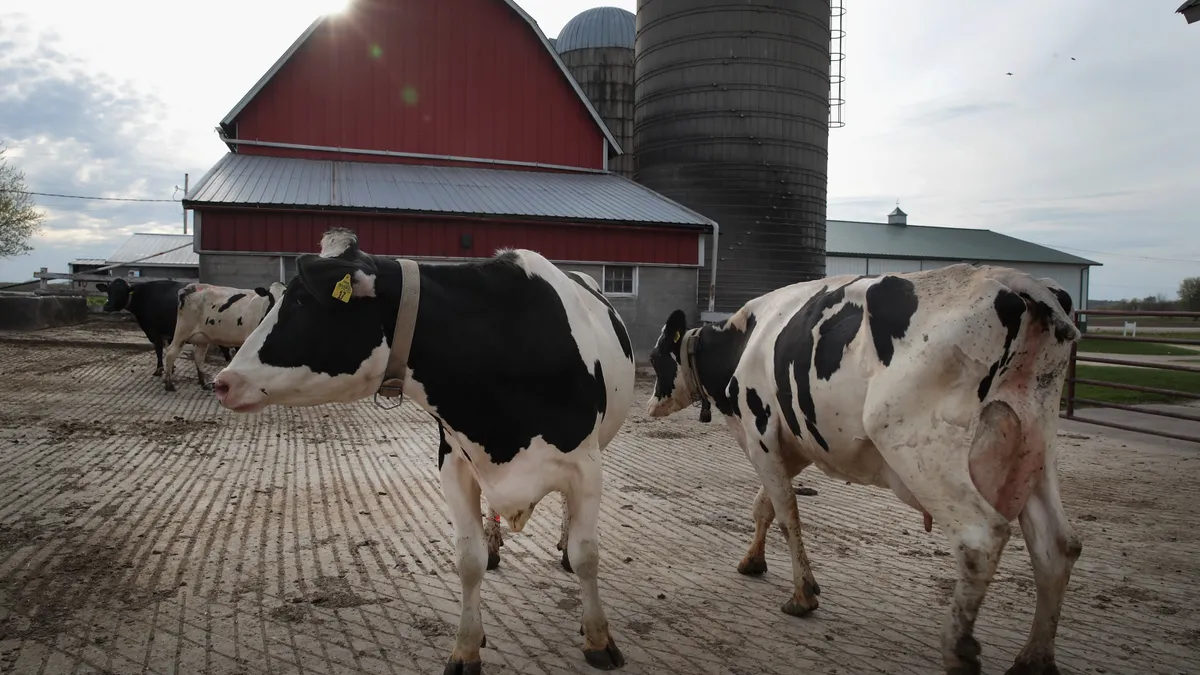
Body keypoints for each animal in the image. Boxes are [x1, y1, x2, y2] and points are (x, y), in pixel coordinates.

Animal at [97, 276, 232, 374]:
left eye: (121, 292)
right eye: (109, 291)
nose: (107, 305)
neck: (143, 296)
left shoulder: (154, 331)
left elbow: (158, 349)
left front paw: (159, 369)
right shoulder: (169, 333)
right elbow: (168, 350)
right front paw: (171, 367)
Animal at [208, 228, 638, 667]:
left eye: (301, 301)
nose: (222, 382)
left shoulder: (587, 467)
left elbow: (587, 556)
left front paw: (598, 638)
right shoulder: (454, 463)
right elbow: (468, 560)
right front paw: (466, 647)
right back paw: (495, 543)